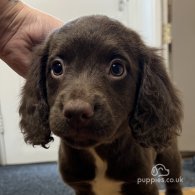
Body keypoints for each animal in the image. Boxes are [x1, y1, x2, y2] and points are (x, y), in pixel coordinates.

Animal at [19, 16, 183, 194]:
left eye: (117, 68)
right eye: (57, 67)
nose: (76, 113)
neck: (98, 151)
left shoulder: (145, 185)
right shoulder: (81, 188)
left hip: (169, 155)